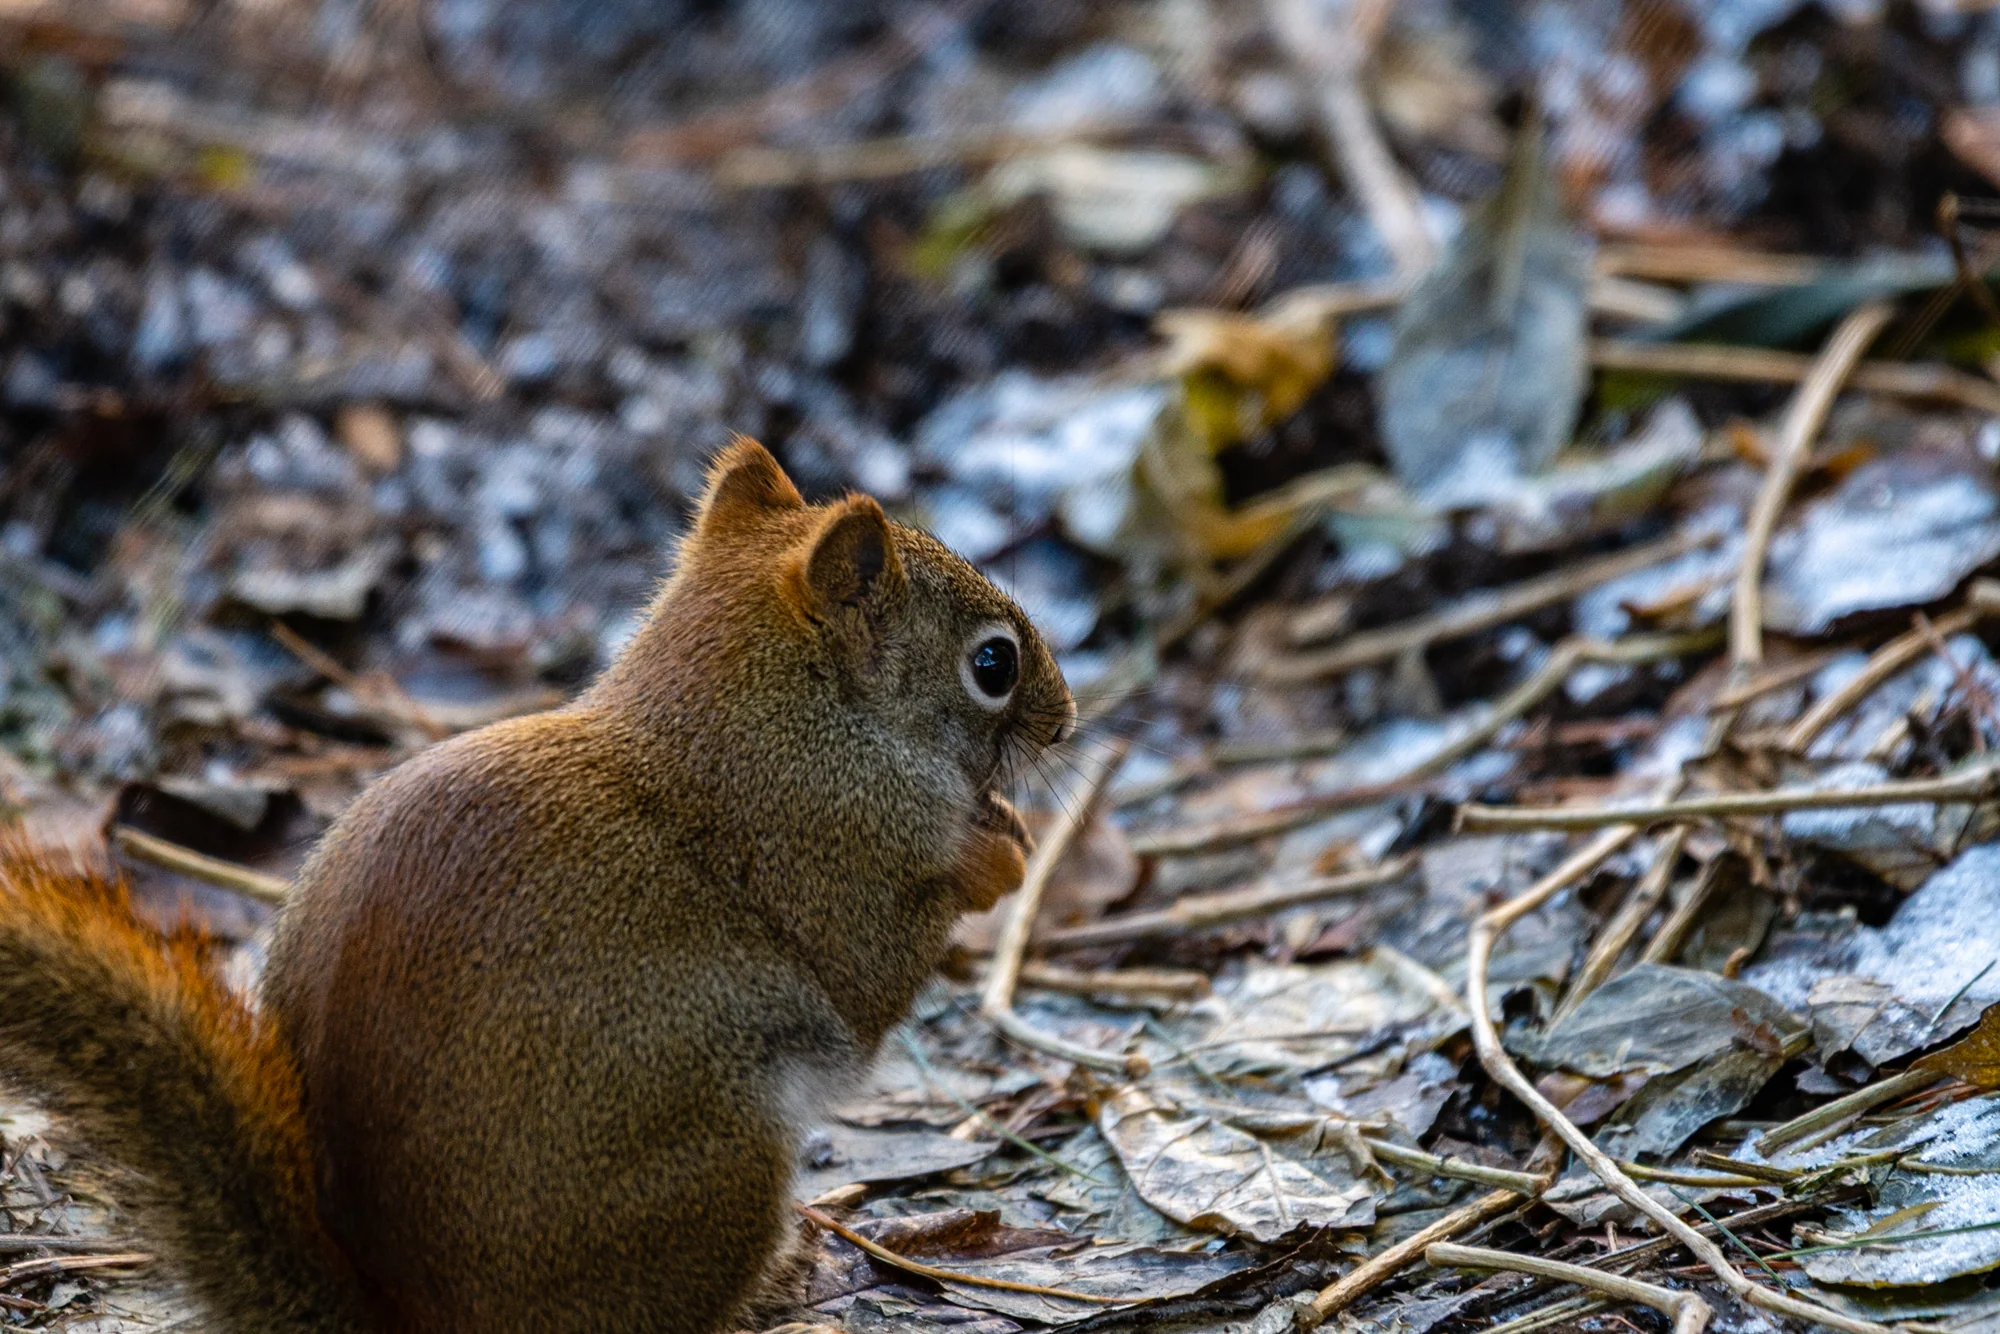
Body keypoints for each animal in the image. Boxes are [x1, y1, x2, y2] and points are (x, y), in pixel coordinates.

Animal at [0, 438, 1076, 1334]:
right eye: (993, 663)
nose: (1066, 721)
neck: (775, 720)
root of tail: (417, 1320)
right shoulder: (825, 855)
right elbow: (872, 969)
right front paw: (999, 855)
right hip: (708, 1167)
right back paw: (785, 1280)